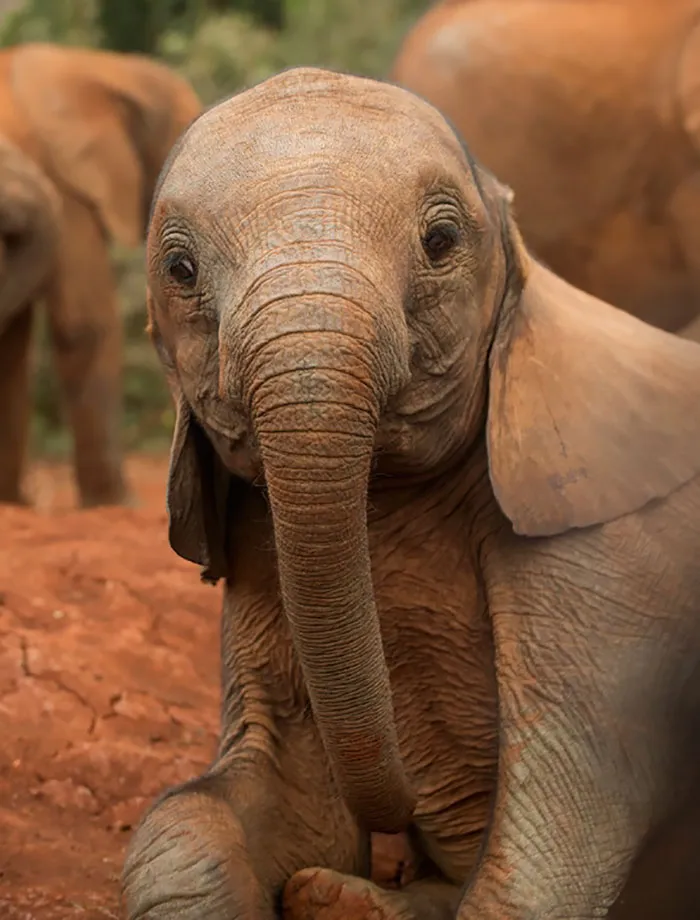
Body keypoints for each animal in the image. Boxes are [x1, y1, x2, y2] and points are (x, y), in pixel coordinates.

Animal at [121, 67, 700, 920]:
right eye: (180, 271)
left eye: (441, 242)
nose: (402, 814)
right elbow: (245, 806)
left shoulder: (609, 569)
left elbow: (549, 846)